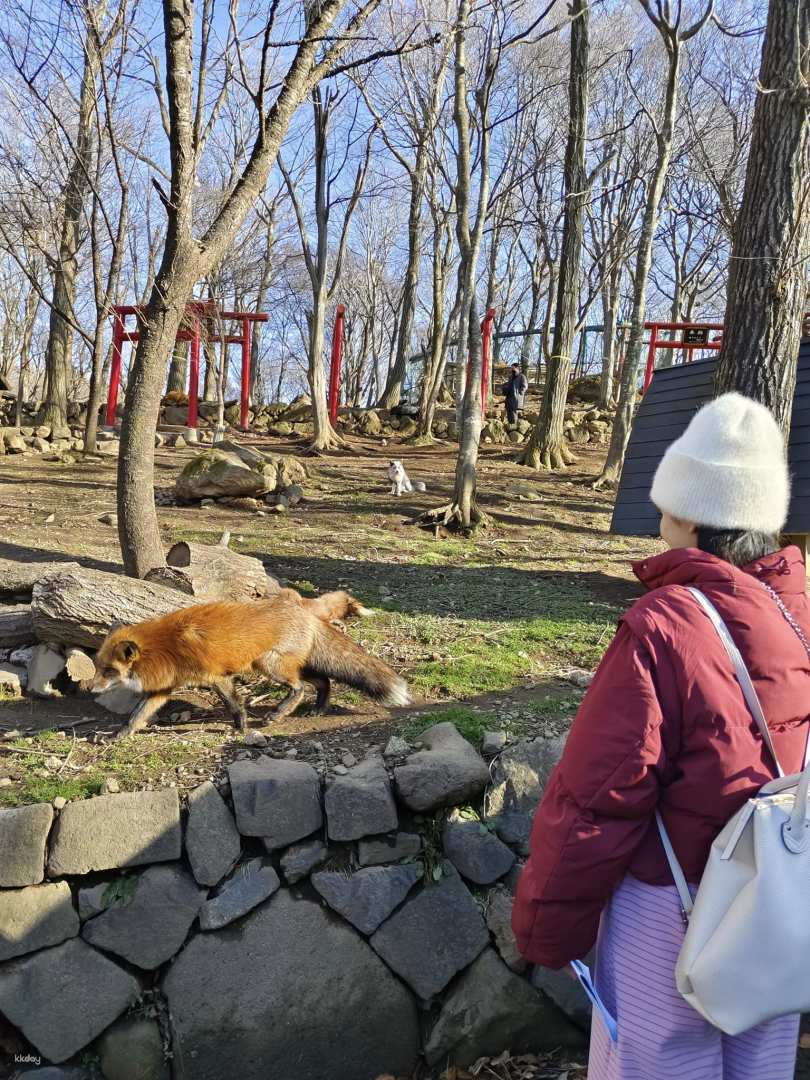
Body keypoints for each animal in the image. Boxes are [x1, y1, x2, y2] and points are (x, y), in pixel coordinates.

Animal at [91, 591, 408, 740]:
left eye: (109, 671)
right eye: (97, 667)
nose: (90, 689)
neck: (165, 646)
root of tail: (304, 608)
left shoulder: (215, 676)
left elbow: (233, 703)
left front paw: (241, 726)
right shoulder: (161, 690)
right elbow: (135, 716)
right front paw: (118, 736)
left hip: (269, 664)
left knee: (300, 687)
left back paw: (278, 714)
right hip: (283, 663)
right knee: (323, 681)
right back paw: (318, 709)